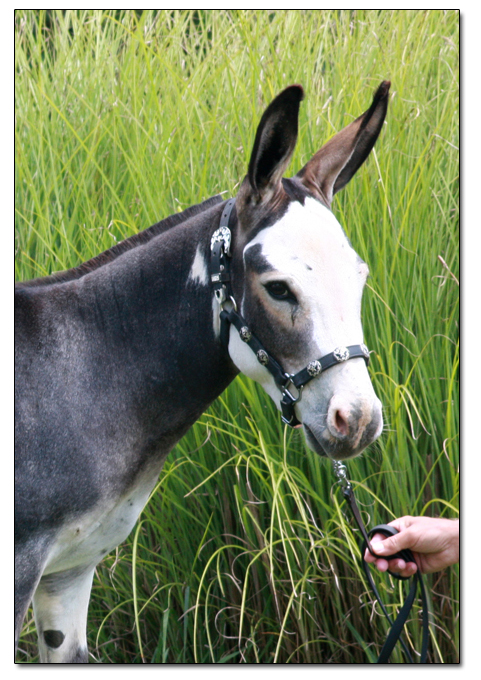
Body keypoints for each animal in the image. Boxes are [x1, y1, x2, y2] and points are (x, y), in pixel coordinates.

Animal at [15, 80, 389, 663]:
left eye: (360, 278)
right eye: (278, 289)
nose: (360, 421)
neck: (85, 371)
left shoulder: (68, 574)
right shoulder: (21, 570)